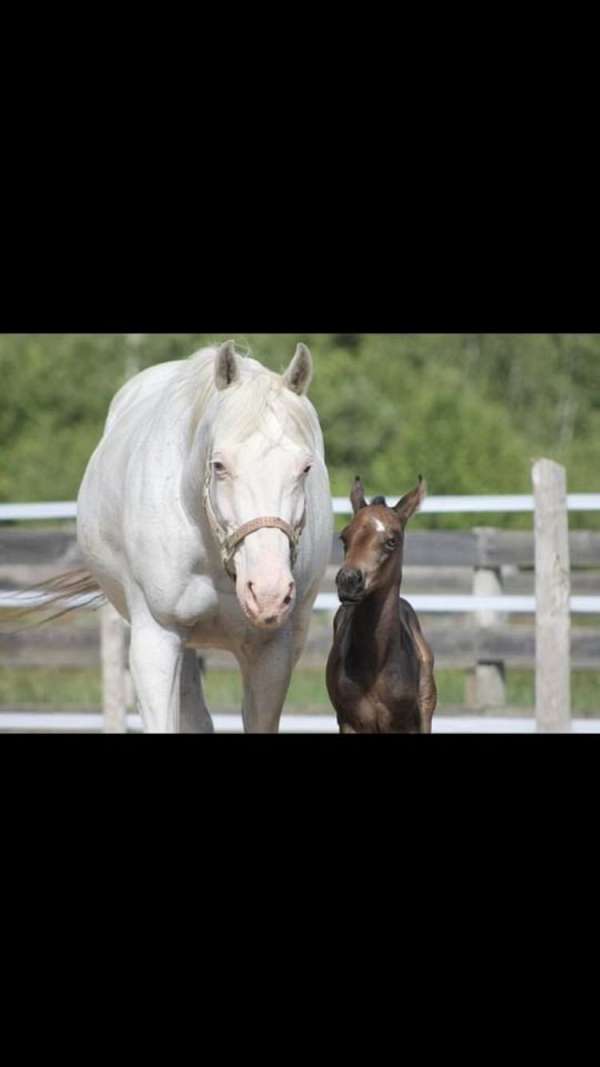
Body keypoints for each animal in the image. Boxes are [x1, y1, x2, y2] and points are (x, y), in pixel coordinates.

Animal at [326, 478, 433, 734]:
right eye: (344, 537)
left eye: (392, 541)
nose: (348, 581)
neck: (375, 665)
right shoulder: (349, 721)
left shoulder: (406, 724)